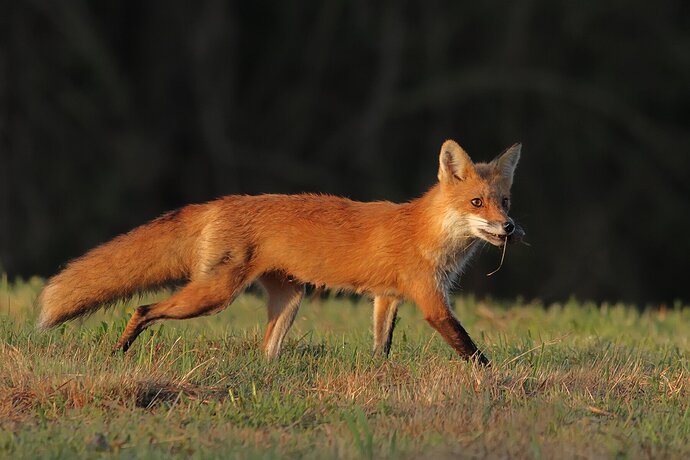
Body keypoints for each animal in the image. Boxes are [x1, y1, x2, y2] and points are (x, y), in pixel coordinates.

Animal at [37, 141, 520, 366]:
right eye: (477, 203)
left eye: (505, 202)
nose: (509, 228)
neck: (427, 231)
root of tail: (217, 202)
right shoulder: (431, 300)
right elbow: (470, 348)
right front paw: (497, 379)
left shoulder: (388, 298)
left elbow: (381, 346)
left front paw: (379, 373)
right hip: (214, 295)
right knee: (142, 308)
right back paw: (120, 351)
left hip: (289, 299)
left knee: (264, 352)